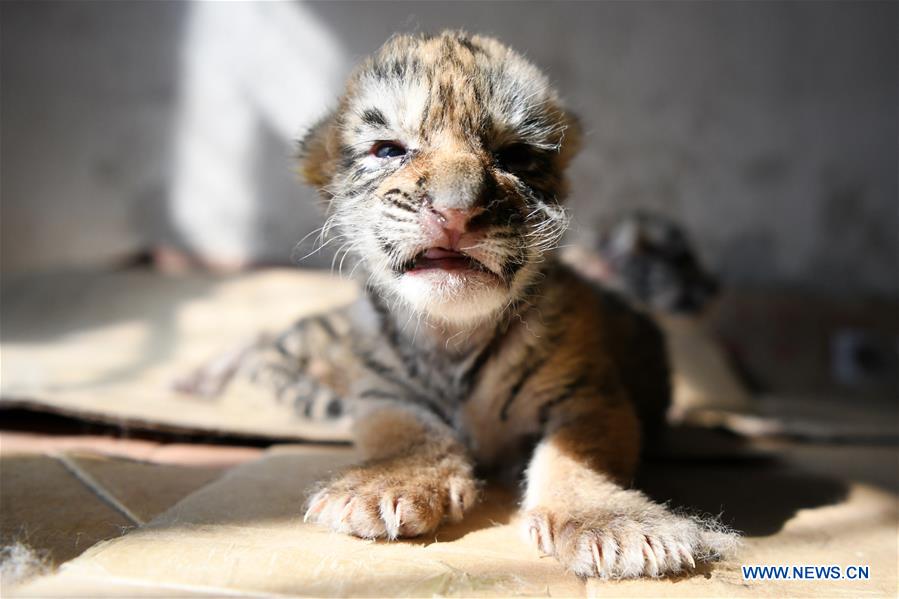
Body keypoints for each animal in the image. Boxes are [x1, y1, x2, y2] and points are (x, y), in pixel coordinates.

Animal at [179, 30, 737, 579]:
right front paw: (382, 488)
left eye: (514, 156)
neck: (451, 335)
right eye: (389, 150)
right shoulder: (384, 393)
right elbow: (406, 434)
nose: (455, 211)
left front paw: (616, 527)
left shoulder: (588, 395)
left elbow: (578, 455)